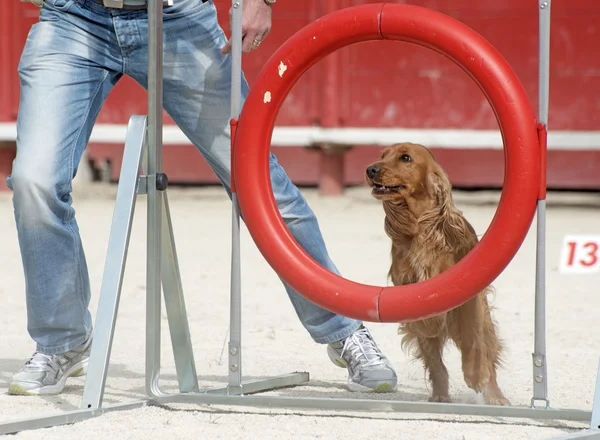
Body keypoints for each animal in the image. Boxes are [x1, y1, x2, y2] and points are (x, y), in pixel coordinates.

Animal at [364, 142, 508, 406]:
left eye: (405, 158)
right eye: (382, 155)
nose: (371, 169)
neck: (422, 227)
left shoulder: (469, 297)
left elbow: (473, 340)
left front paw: (475, 376)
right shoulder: (406, 285)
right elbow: (425, 328)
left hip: (484, 322)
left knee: (487, 352)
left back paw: (495, 396)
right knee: (435, 362)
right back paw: (440, 394)